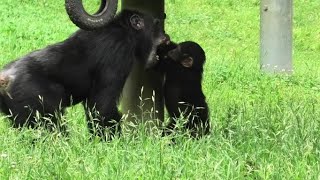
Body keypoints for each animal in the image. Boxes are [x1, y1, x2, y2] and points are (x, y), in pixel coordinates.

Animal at [0, 9, 165, 139]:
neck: (125, 31)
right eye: (156, 24)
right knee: (51, 128)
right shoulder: (117, 51)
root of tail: (5, 77)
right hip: (32, 96)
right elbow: (102, 106)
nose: (165, 35)